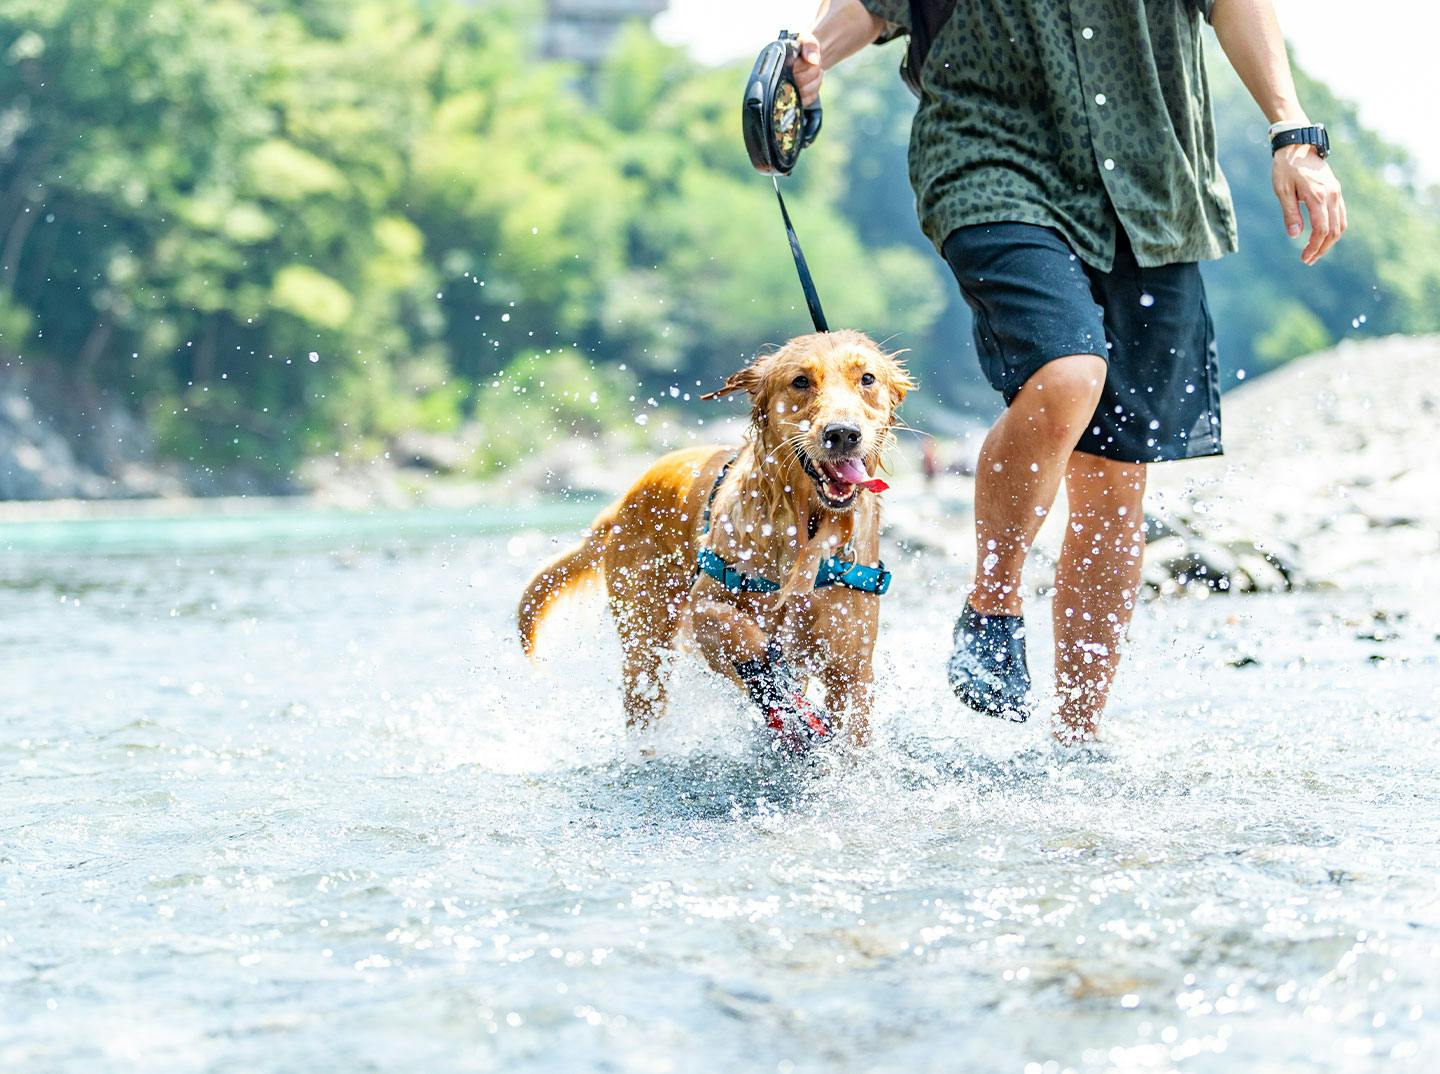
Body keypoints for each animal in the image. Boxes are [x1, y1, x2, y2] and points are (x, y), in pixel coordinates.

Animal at [518, 331, 910, 748]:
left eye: (867, 378)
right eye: (801, 381)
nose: (842, 434)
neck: (803, 532)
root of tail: (623, 500)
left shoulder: (851, 666)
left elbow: (851, 736)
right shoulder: (705, 605)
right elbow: (734, 629)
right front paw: (773, 688)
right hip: (644, 642)